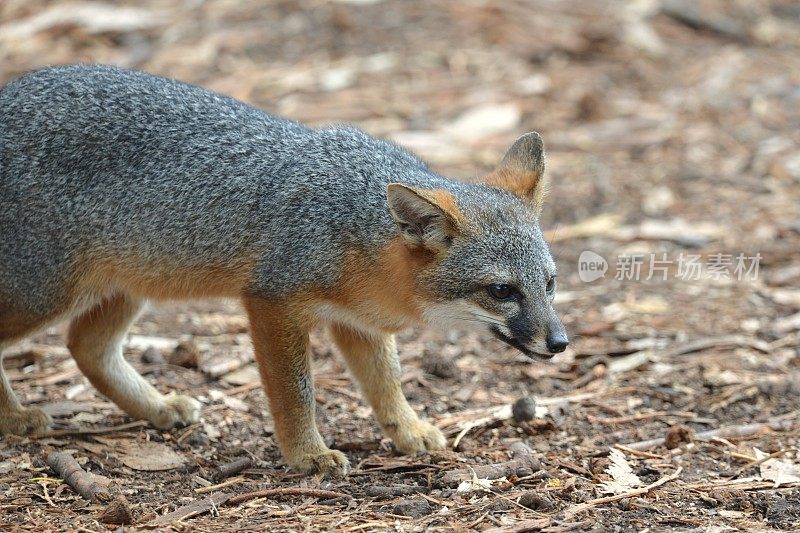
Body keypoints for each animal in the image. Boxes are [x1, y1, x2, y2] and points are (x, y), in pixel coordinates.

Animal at [3, 64, 572, 476]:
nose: (560, 342)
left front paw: (409, 432)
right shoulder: (272, 301)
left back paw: (158, 408)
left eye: (549, 284)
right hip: (45, 293)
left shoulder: (359, 323)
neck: (355, 223)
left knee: (86, 346)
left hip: (127, 285)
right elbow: (296, 392)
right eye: (502, 290)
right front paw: (308, 455)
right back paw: (15, 418)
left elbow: (386, 384)